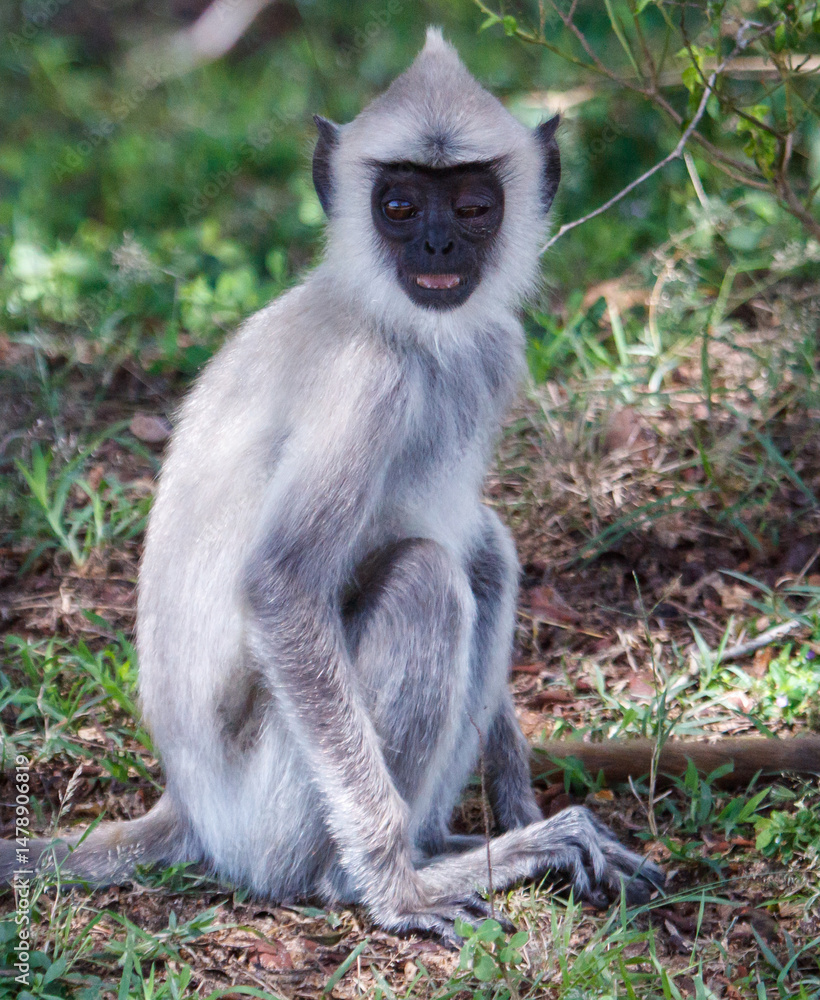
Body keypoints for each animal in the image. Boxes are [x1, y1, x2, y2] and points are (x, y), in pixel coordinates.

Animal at [2, 29, 818, 944]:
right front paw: (396, 887)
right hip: (271, 814)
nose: (435, 249)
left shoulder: (494, 348)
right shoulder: (368, 380)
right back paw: (379, 875)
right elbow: (284, 586)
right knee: (429, 577)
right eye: (398, 207)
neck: (405, 328)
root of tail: (187, 803)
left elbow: (472, 533)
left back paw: (465, 843)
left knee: (485, 552)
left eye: (469, 208)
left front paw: (518, 798)